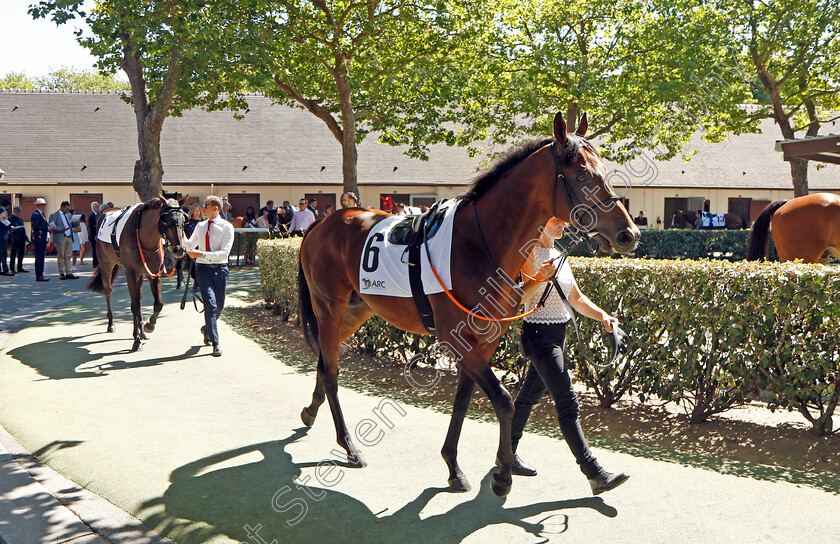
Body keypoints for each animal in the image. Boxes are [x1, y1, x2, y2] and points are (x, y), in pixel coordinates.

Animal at [87, 198, 187, 350]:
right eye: (165, 219)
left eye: (183, 219)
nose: (179, 249)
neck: (144, 237)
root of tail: (104, 212)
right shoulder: (131, 272)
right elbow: (134, 305)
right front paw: (136, 340)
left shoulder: (153, 272)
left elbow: (157, 304)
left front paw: (148, 326)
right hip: (106, 266)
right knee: (108, 292)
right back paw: (111, 324)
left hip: (140, 274)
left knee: (138, 298)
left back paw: (141, 332)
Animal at [298, 113, 640, 498]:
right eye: (581, 174)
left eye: (605, 172)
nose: (628, 234)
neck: (477, 243)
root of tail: (322, 223)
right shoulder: (457, 339)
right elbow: (504, 401)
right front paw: (502, 475)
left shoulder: (485, 339)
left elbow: (463, 400)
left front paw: (453, 466)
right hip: (330, 308)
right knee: (331, 371)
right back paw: (349, 445)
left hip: (356, 311)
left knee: (324, 362)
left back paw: (310, 412)